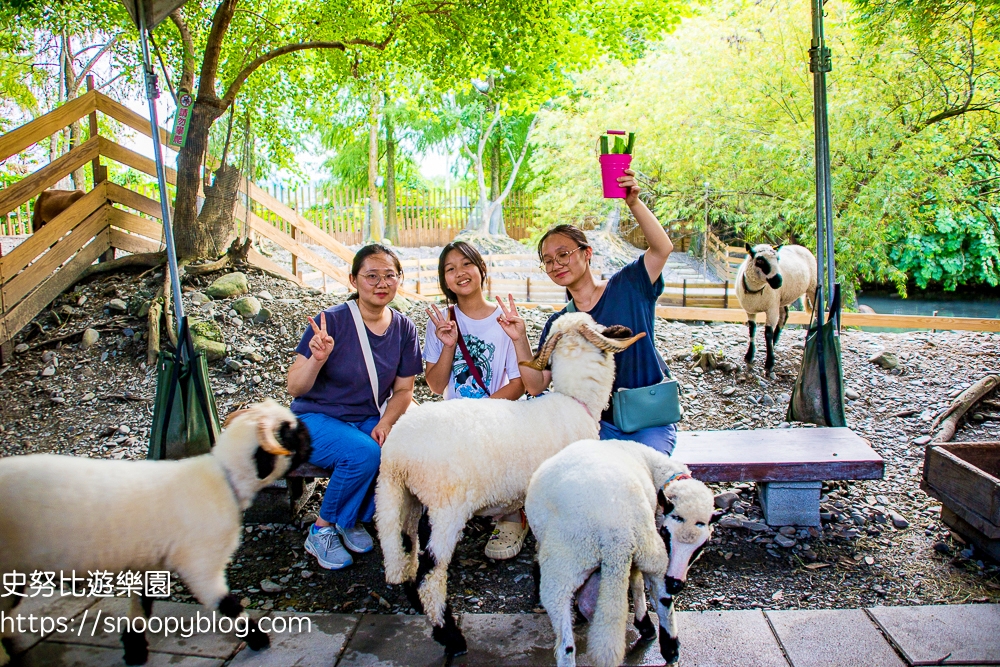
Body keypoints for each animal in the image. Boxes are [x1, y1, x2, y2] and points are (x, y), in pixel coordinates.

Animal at [0, 400, 310, 664]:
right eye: (289, 434)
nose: (309, 439)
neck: (223, 477)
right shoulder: (200, 565)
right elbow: (228, 605)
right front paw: (259, 640)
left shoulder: (151, 561)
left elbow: (142, 603)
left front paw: (135, 649)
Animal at [372, 314, 644, 656]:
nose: (622, 329)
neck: (575, 401)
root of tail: (396, 456)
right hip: (445, 508)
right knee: (430, 574)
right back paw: (450, 637)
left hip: (404, 501)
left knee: (407, 553)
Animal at [524, 438, 720, 667]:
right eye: (666, 533)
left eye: (701, 545)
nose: (676, 583)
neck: (650, 464)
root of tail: (616, 532)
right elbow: (637, 581)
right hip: (652, 552)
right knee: (663, 598)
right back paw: (669, 648)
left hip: (565, 565)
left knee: (566, 645)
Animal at [732, 243, 816, 374]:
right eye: (760, 260)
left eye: (777, 259)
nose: (778, 281)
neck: (756, 290)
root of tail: (801, 247)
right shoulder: (750, 310)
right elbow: (752, 330)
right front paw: (749, 356)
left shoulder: (771, 309)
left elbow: (767, 333)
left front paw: (769, 363)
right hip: (781, 298)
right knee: (784, 315)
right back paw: (775, 342)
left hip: (812, 287)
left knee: (816, 311)